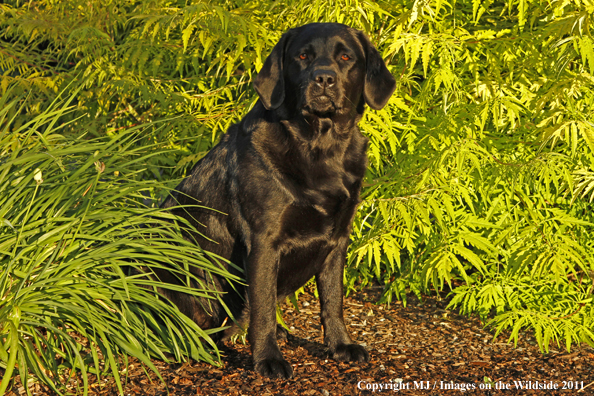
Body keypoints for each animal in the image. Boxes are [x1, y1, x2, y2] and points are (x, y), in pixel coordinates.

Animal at [160, 22, 396, 378]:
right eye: (302, 56)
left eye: (345, 57)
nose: (323, 78)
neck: (319, 147)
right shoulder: (263, 240)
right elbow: (263, 308)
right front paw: (268, 359)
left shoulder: (338, 238)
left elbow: (333, 300)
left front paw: (340, 345)